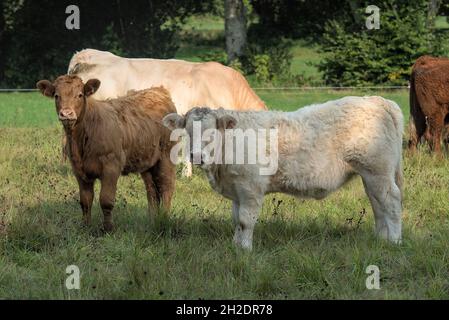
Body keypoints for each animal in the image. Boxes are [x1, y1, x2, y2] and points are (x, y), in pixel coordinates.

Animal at [36, 75, 176, 230]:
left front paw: (108, 228)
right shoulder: (79, 170)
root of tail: (158, 91)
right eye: (56, 96)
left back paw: (164, 219)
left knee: (166, 187)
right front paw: (86, 226)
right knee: (151, 190)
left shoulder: (111, 167)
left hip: (166, 157)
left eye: (80, 95)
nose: (66, 113)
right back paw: (152, 220)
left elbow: (106, 200)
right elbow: (85, 201)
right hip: (147, 161)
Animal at [164, 96, 402, 251]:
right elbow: (236, 220)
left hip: (378, 171)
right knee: (377, 204)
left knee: (391, 202)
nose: (196, 156)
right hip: (371, 176)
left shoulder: (251, 188)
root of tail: (378, 100)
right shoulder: (237, 190)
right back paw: (380, 238)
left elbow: (245, 220)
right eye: (187, 131)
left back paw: (395, 241)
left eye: (212, 132)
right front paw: (235, 245)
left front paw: (245, 250)